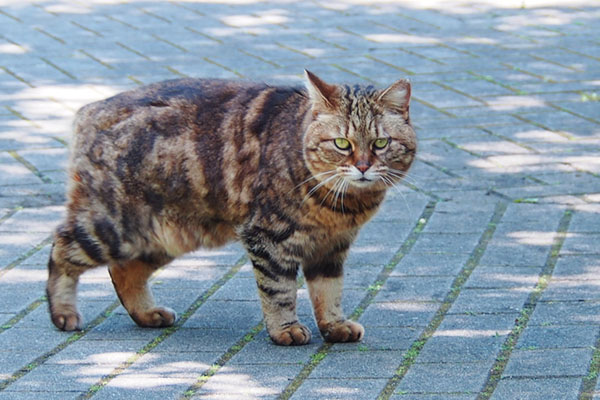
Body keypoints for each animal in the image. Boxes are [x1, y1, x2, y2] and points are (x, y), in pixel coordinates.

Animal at [45, 70, 418, 346]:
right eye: (342, 143)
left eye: (380, 143)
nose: (363, 166)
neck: (343, 206)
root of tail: (91, 108)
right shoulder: (268, 236)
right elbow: (279, 289)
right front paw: (285, 329)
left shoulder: (331, 247)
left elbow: (329, 292)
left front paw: (334, 325)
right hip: (114, 228)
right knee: (61, 248)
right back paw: (63, 313)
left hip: (163, 237)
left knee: (123, 272)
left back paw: (148, 314)